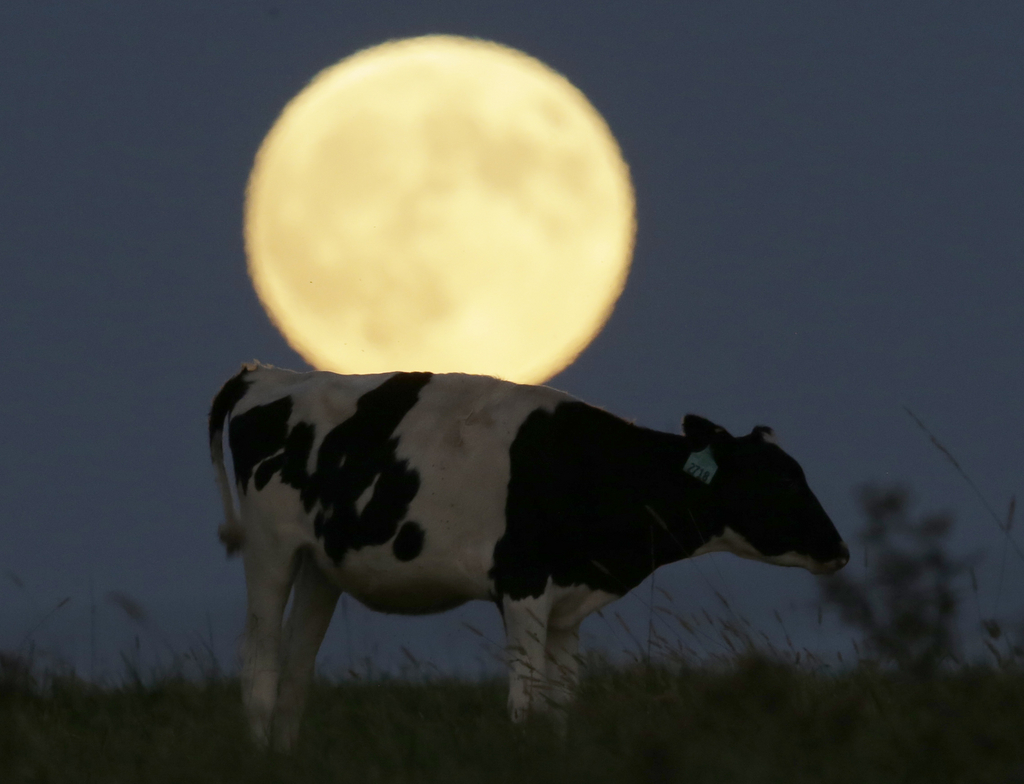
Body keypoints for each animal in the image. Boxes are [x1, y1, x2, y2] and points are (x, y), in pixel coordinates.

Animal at [205, 364, 847, 753]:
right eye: (782, 481)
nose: (839, 550)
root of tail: (270, 375)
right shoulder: (522, 585)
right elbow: (523, 703)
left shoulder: (568, 604)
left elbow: (560, 705)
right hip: (270, 548)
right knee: (259, 663)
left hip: (321, 565)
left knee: (296, 672)